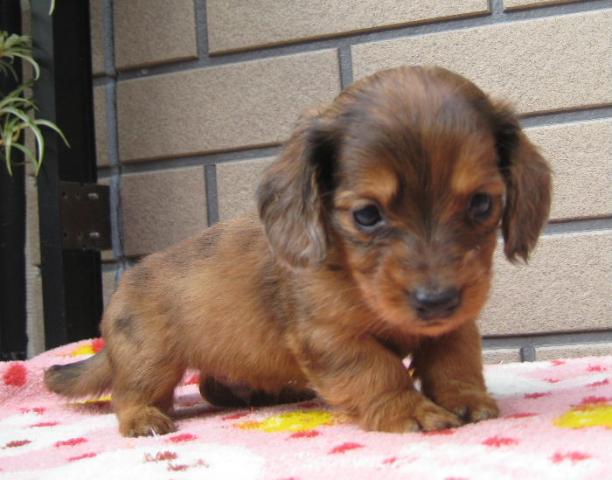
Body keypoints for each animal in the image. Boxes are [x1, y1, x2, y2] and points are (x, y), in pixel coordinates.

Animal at [45, 66, 551, 437]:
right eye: (367, 215)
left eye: (481, 204)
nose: (437, 301)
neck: (353, 278)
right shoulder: (330, 337)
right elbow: (379, 369)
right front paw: (410, 410)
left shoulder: (454, 325)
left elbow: (455, 360)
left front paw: (467, 399)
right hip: (150, 357)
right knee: (130, 394)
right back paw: (144, 419)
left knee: (212, 386)